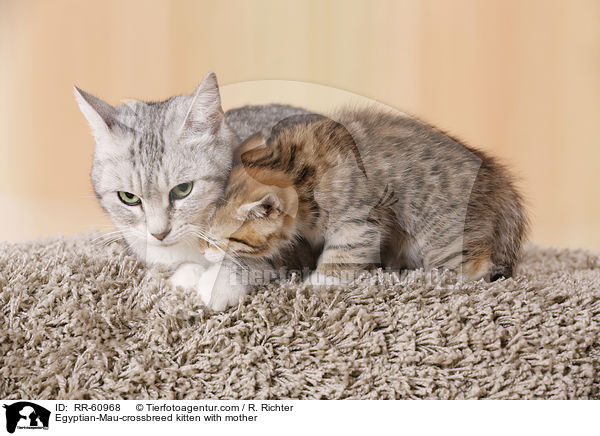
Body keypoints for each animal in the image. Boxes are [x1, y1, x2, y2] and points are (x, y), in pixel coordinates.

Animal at [75, 71, 310, 310]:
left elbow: (256, 256)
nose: (159, 234)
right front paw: (187, 274)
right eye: (129, 197)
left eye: (182, 189)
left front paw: (218, 282)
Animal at [204, 108, 528, 292]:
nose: (203, 252)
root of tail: (503, 187)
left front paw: (320, 282)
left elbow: (343, 252)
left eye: (221, 240)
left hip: (443, 237)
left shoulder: (359, 220)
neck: (294, 166)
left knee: (474, 268)